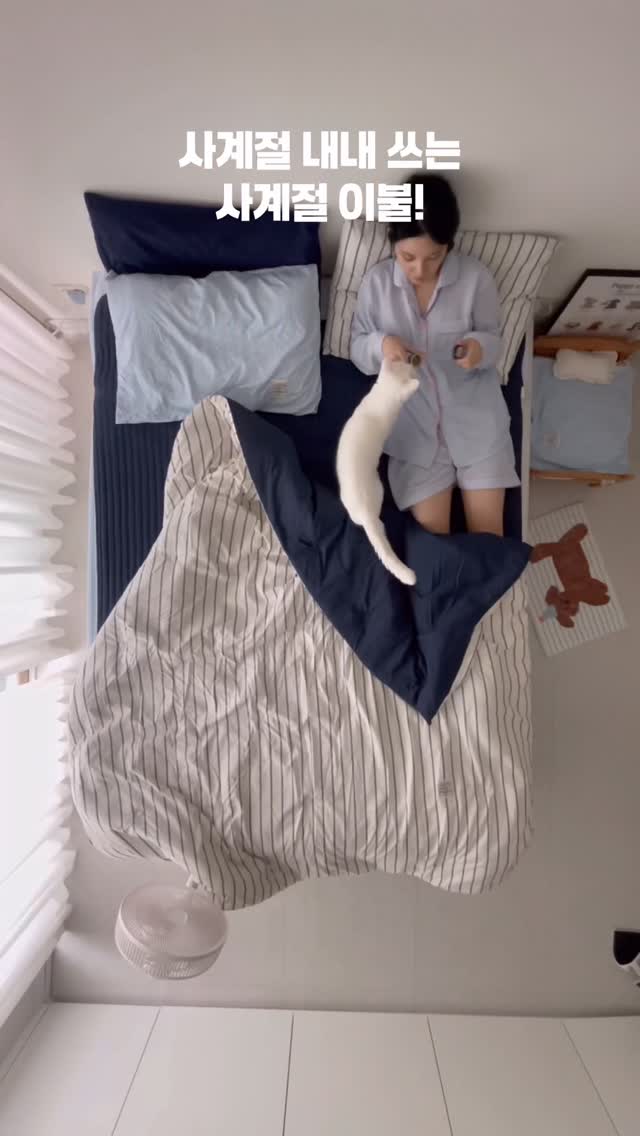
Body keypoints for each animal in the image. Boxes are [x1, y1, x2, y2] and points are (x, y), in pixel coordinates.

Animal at [336, 359, 420, 586]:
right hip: (378, 488)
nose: (413, 363)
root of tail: (366, 516)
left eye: (405, 360)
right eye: (410, 369)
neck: (381, 395)